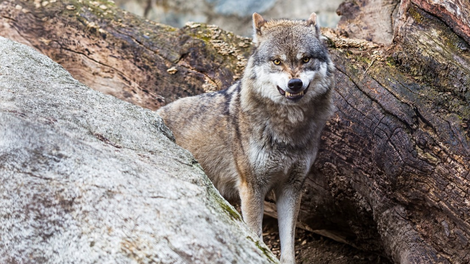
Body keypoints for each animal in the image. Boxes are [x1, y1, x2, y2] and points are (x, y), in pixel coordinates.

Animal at [158, 12, 334, 264]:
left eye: (305, 59)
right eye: (277, 61)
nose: (294, 84)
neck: (287, 131)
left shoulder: (291, 187)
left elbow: (288, 247)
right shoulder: (251, 187)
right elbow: (256, 236)